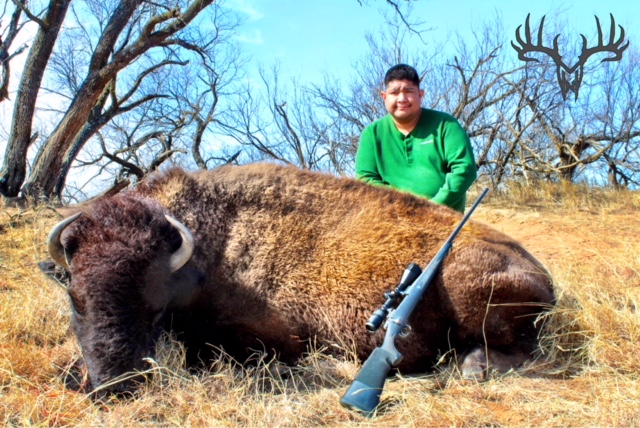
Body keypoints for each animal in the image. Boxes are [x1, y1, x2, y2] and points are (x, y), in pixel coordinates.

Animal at [42, 163, 556, 394]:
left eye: (154, 308)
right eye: (74, 298)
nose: (111, 385)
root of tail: (544, 276)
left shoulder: (269, 336)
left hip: (475, 294)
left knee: (520, 350)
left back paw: (471, 365)